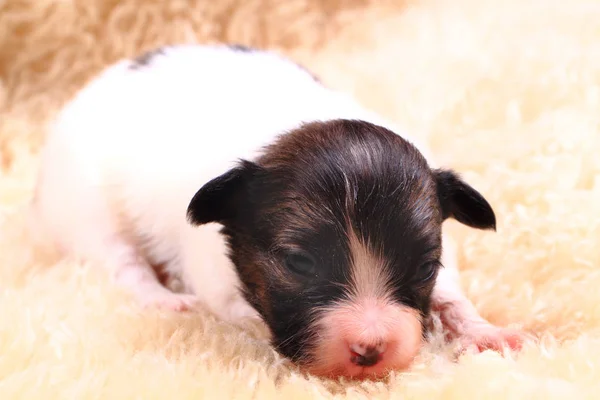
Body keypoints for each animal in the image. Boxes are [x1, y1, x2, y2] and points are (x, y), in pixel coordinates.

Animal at [32, 43, 528, 378]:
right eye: (300, 263)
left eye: (424, 266)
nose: (370, 351)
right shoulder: (215, 277)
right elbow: (245, 313)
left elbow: (451, 297)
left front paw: (484, 332)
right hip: (86, 207)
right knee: (121, 262)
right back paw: (162, 298)